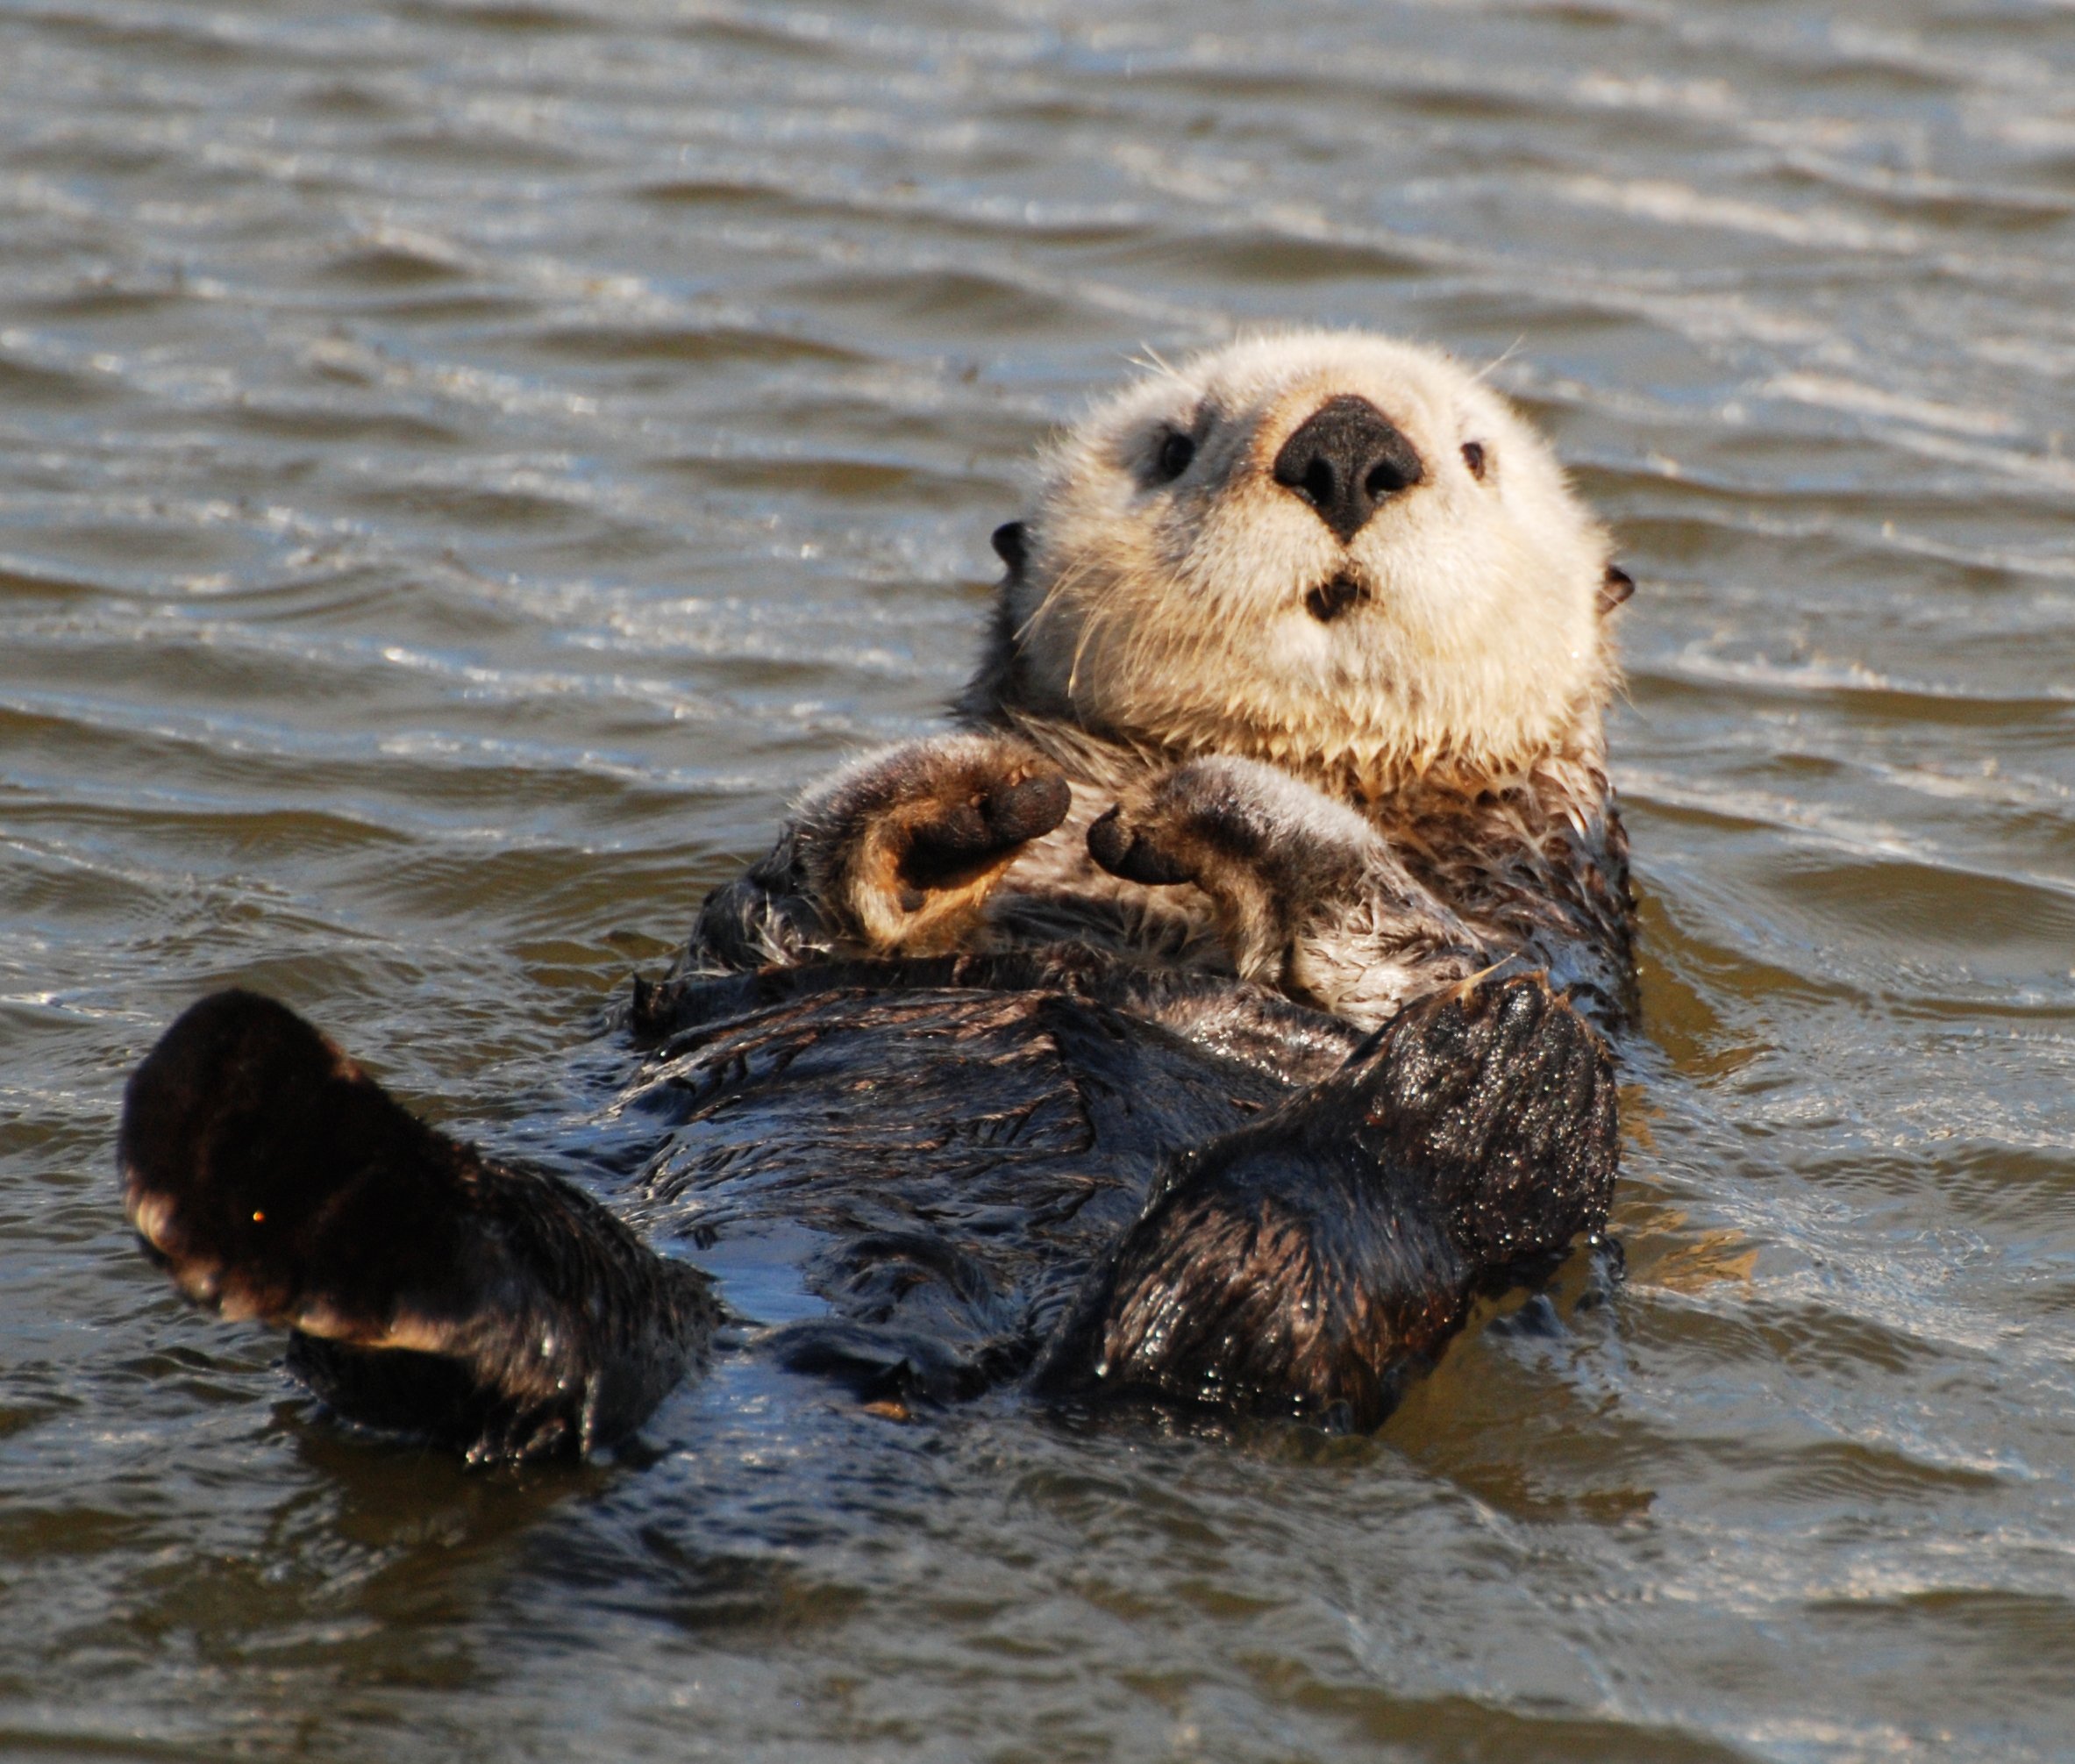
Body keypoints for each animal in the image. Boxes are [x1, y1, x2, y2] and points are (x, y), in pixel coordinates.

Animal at [119, 330, 1634, 1463]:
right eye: (1172, 445)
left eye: (1475, 456)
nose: (1347, 448)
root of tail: (902, 1355)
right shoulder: (759, 935)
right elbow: (794, 896)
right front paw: (978, 793)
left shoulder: (1549, 912)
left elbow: (1410, 935)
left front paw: (1210, 801)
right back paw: (286, 1157)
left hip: (1371, 1259)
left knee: (1256, 1298)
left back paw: (1472, 1087)